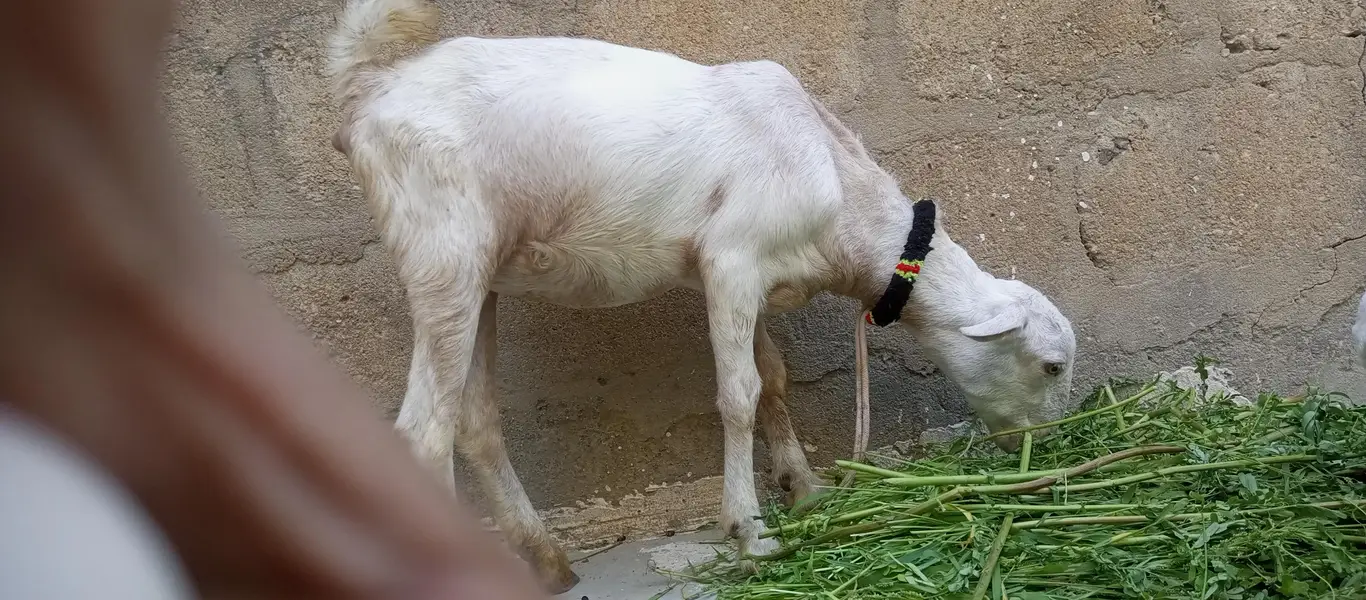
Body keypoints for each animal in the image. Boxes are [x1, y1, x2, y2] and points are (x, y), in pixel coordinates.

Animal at [326, 0, 1077, 592]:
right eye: (1051, 365)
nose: (1048, 448)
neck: (838, 187)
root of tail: (371, 87)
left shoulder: (752, 273)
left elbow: (773, 378)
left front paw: (805, 489)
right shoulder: (733, 259)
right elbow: (739, 395)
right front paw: (750, 531)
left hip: (480, 276)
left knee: (475, 419)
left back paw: (545, 559)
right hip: (442, 252)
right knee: (423, 433)